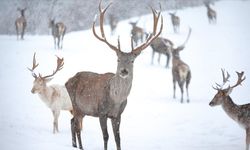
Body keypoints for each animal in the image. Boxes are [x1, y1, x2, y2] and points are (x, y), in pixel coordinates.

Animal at [64, 0, 162, 149]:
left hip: (82, 109)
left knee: (72, 122)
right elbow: (106, 136)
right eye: (118, 59)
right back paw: (80, 147)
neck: (116, 100)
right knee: (76, 126)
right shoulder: (101, 112)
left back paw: (74, 145)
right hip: (75, 105)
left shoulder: (118, 115)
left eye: (132, 60)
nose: (124, 71)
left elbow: (118, 138)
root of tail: (67, 81)